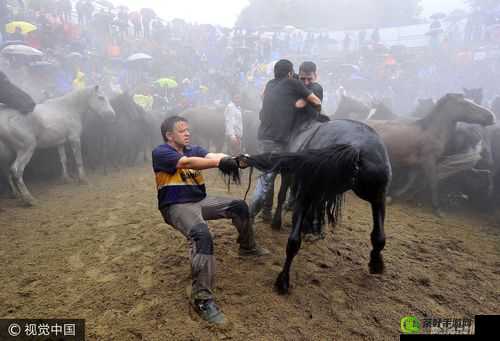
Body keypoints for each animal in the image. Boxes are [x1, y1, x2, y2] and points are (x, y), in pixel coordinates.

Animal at [236, 113, 392, 292]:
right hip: (377, 195)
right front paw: (312, 229)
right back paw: (375, 263)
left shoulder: (290, 176)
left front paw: (281, 223)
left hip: (310, 191)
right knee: (378, 236)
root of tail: (355, 145)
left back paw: (283, 279)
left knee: (294, 240)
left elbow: (282, 197)